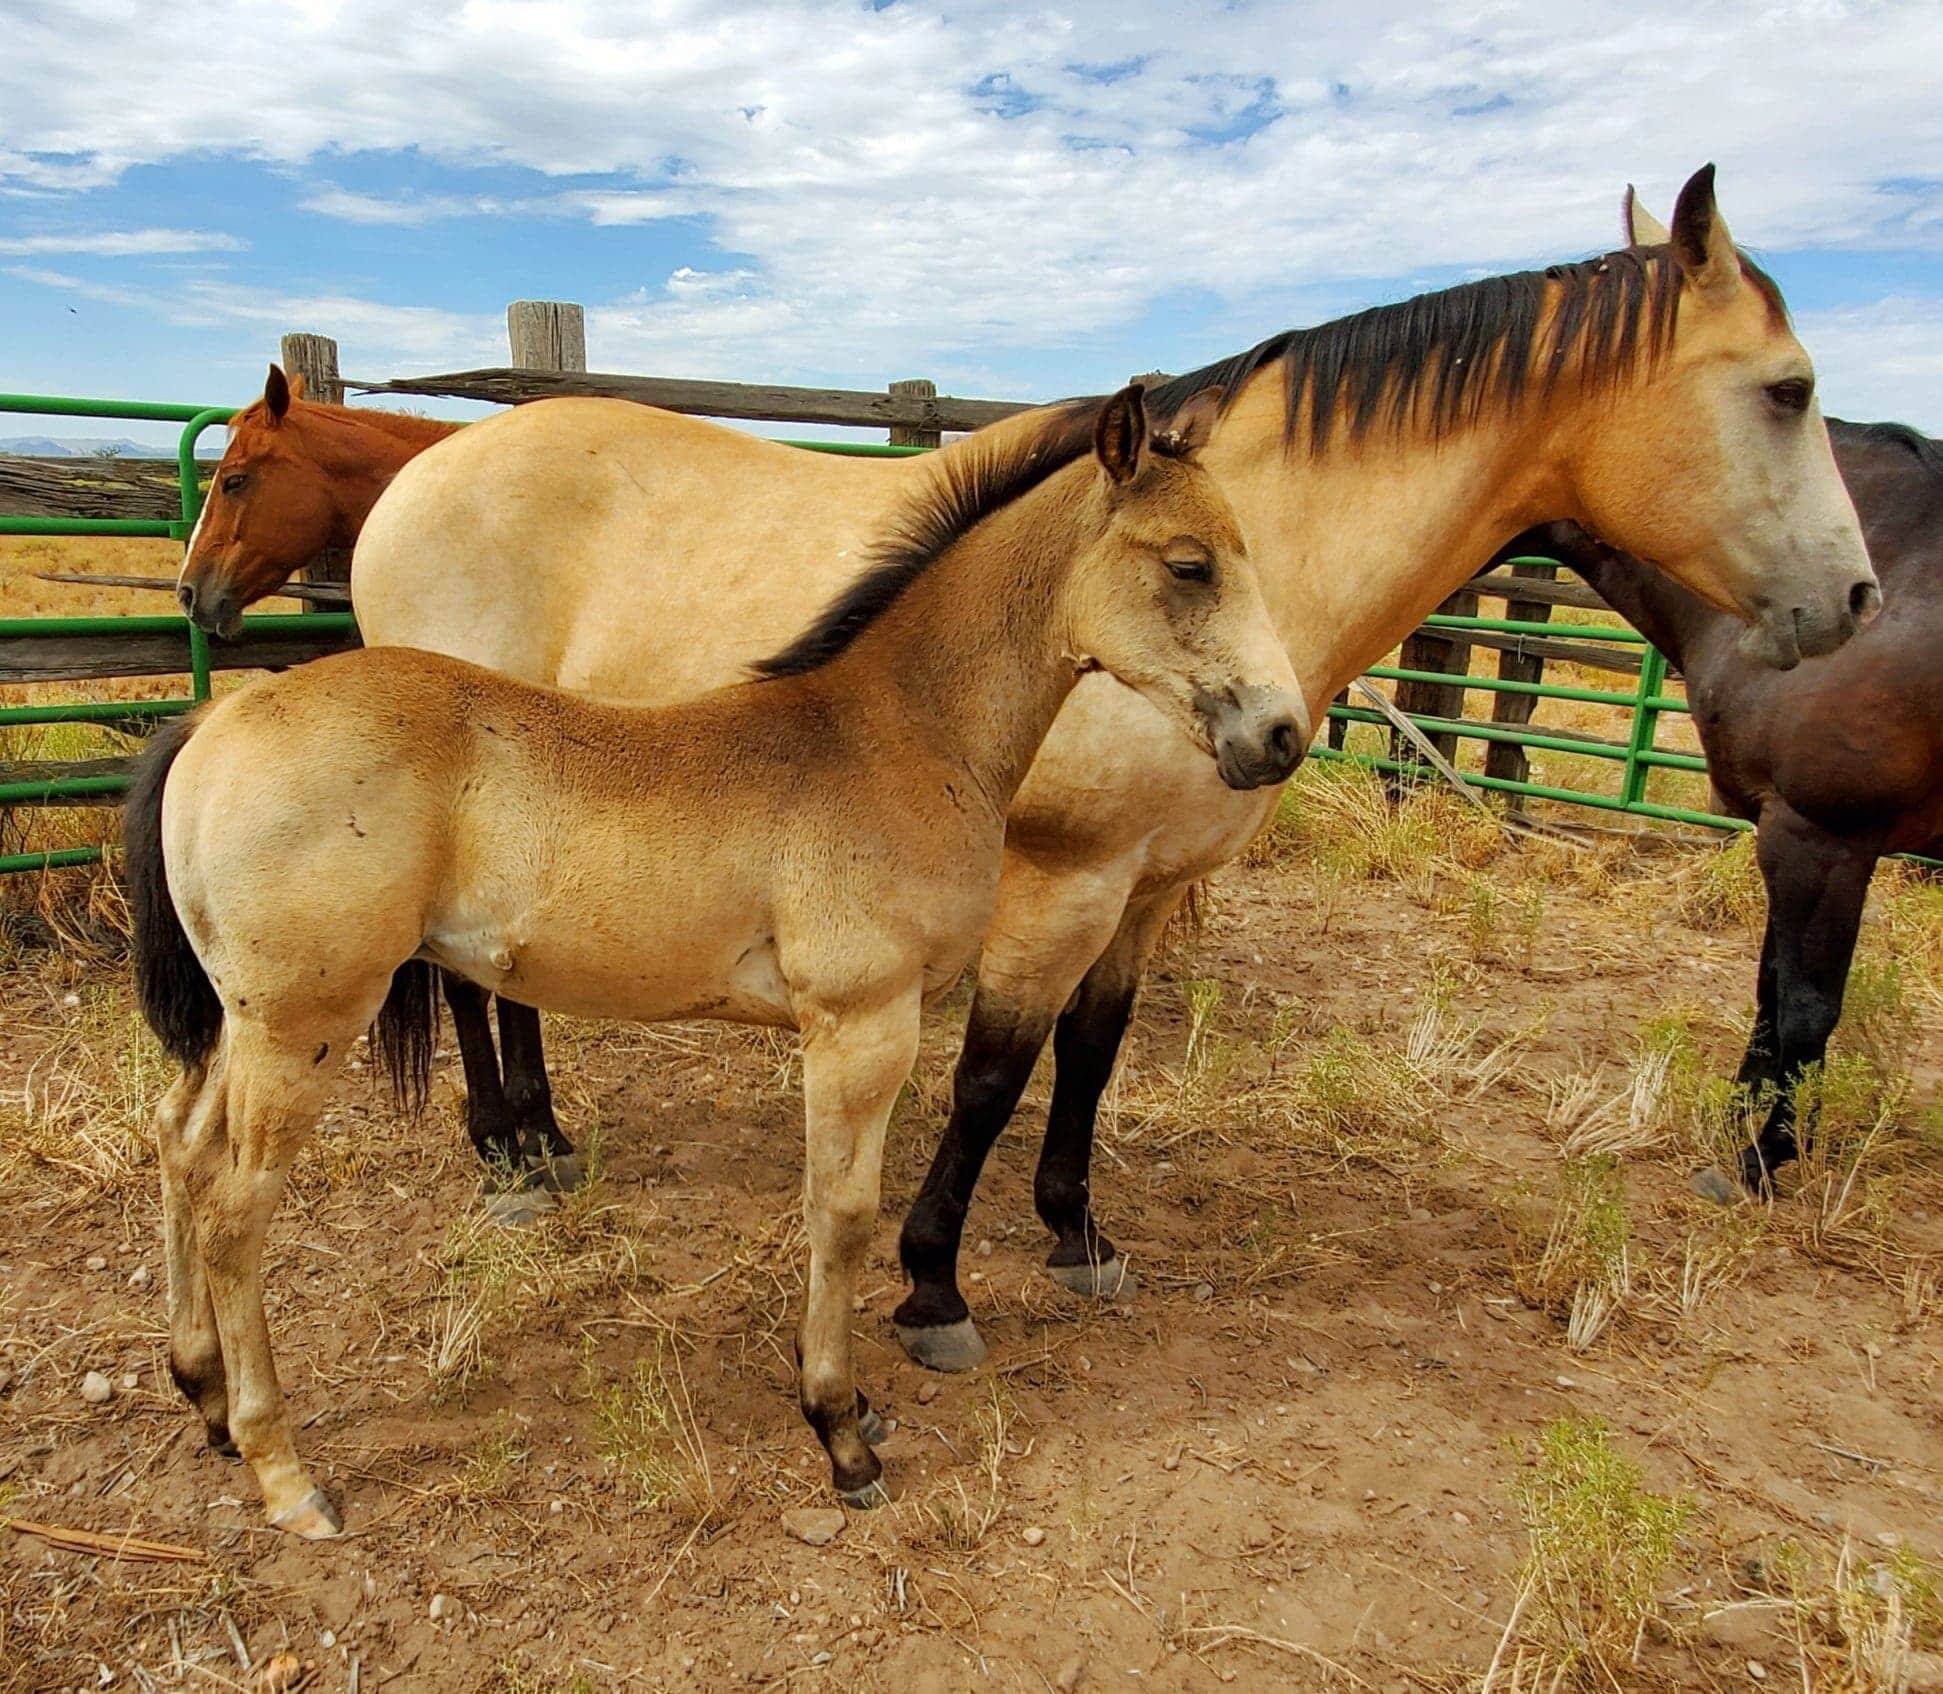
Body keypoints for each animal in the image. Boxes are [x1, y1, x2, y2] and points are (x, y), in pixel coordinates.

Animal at [1510, 416, 1943, 1188]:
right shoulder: (1783, 836)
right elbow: (1770, 988)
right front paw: (1739, 1112)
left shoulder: (1822, 841)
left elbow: (1806, 1007)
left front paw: (1768, 1155)